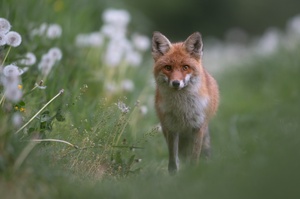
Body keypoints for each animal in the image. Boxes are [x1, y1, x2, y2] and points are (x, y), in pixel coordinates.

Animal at [152, 31, 218, 174]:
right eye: (168, 68)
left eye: (185, 67)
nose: (176, 83)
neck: (182, 108)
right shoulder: (171, 128)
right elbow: (173, 160)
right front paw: (174, 175)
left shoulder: (198, 127)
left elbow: (194, 159)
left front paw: (192, 175)